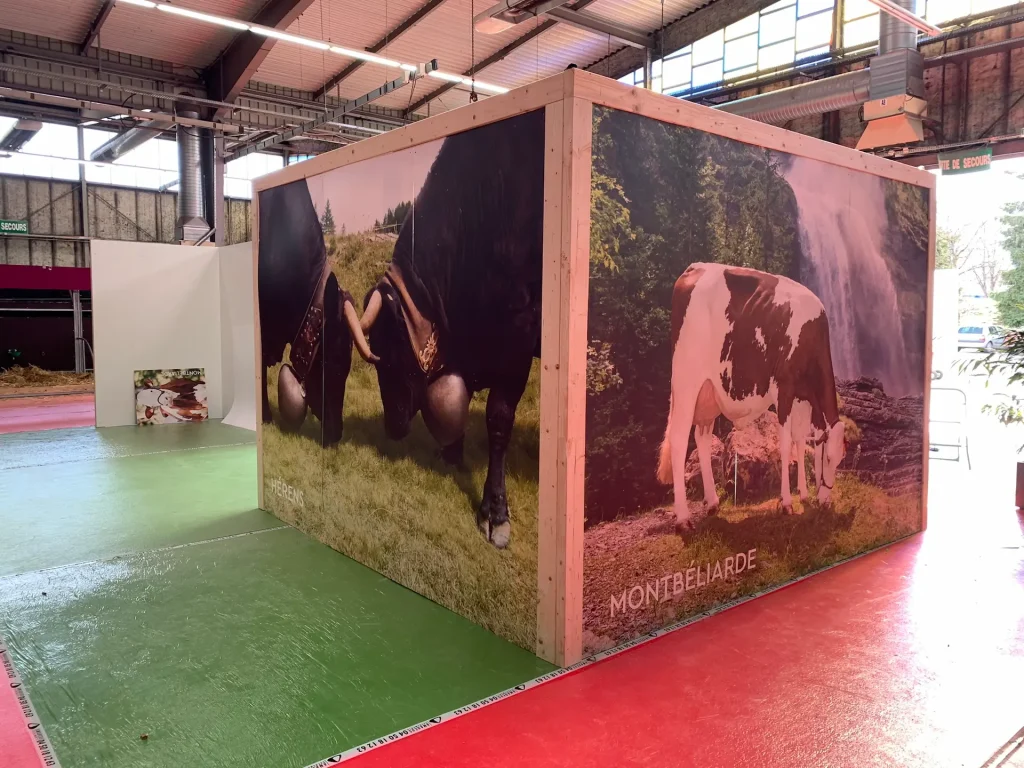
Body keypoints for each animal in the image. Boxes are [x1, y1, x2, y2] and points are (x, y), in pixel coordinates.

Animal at [348, 109, 545, 549]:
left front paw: (495, 512)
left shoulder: (519, 337)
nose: (392, 428)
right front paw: (452, 453)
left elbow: (498, 419)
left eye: (388, 357)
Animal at [657, 262, 846, 533]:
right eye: (829, 458)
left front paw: (805, 494)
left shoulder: (804, 399)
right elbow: (787, 444)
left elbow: (802, 441)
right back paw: (683, 518)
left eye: (839, 460)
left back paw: (712, 502)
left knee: (701, 437)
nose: (826, 500)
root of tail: (694, 267)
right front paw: (787, 502)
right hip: (686, 381)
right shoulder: (784, 388)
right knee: (680, 439)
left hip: (708, 393)